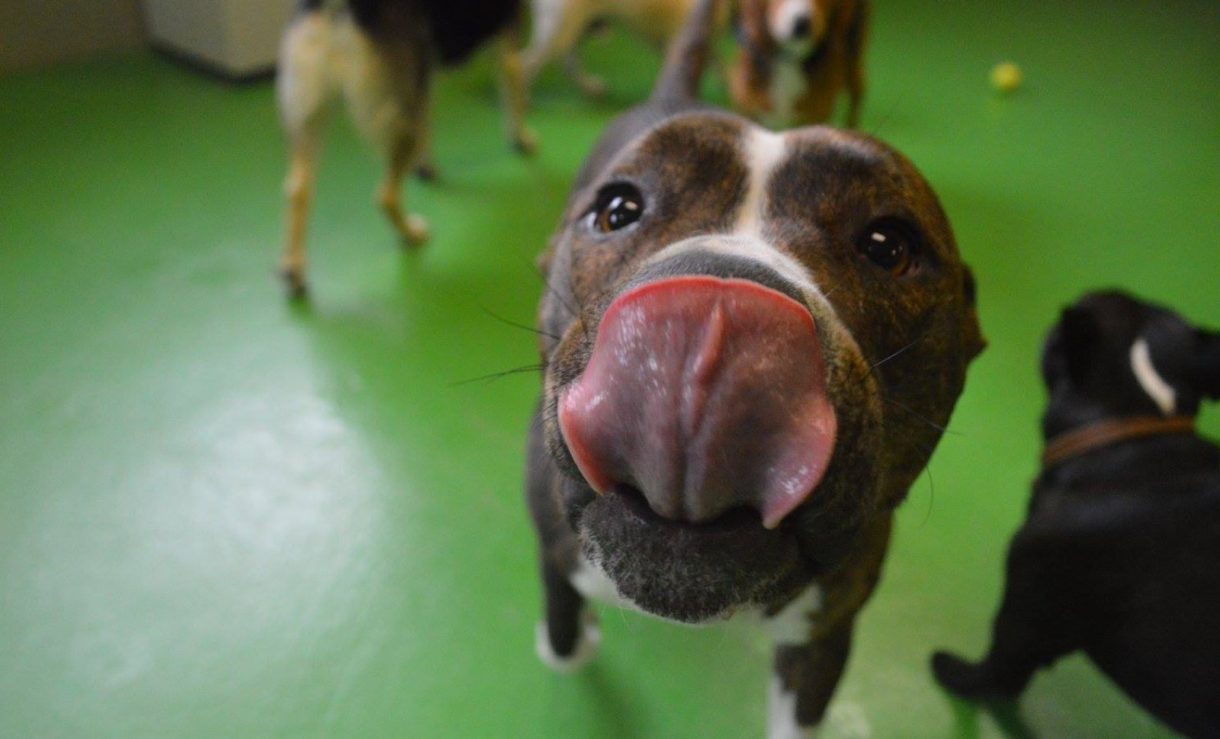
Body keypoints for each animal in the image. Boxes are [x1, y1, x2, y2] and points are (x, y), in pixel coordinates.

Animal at [278, 0, 534, 295]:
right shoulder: (507, 41)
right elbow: (514, 90)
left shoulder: (426, 73)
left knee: (298, 189)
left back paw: (294, 267)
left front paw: (426, 167)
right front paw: (523, 139)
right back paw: (411, 234)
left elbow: (428, 122)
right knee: (386, 196)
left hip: (309, 113)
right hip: (399, 117)